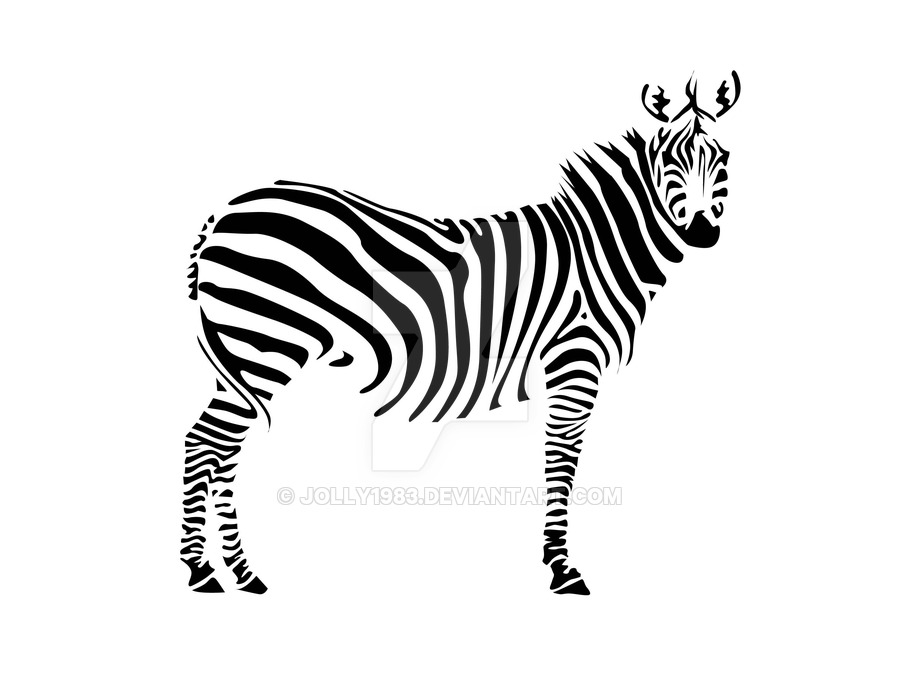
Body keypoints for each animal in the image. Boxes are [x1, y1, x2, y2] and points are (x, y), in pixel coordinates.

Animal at [182, 72, 741, 595]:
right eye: (668, 161)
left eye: (722, 159)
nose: (702, 231)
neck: (597, 249)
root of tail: (224, 214)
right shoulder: (574, 361)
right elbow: (561, 460)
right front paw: (562, 568)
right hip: (264, 344)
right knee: (208, 443)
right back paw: (207, 571)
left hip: (245, 354)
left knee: (219, 449)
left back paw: (234, 572)